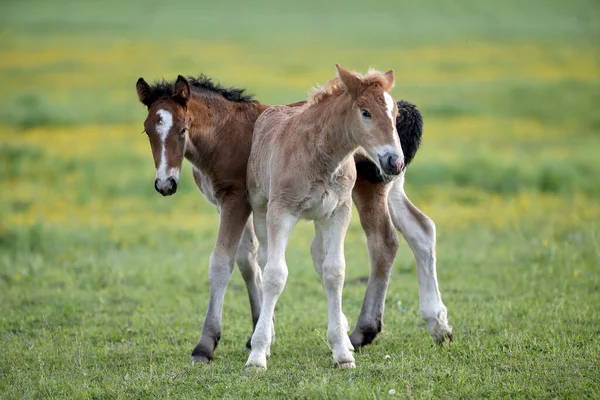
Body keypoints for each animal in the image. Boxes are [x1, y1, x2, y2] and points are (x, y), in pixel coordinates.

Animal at [246, 65, 406, 368]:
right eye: (365, 112)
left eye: (395, 114)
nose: (395, 161)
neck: (320, 154)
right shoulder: (280, 210)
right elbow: (274, 274)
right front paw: (257, 355)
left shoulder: (338, 211)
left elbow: (334, 271)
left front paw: (342, 352)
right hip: (260, 207)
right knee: (264, 259)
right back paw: (267, 335)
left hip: (319, 219)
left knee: (319, 256)